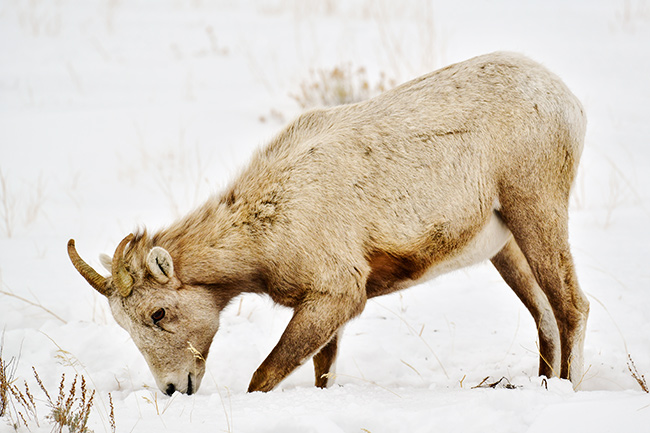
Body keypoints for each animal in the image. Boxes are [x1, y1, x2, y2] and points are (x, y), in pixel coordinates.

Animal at [67, 51, 588, 394]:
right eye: (125, 324)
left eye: (157, 313)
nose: (175, 387)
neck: (267, 223)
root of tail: (567, 100)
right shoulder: (326, 308)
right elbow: (323, 373)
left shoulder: (335, 295)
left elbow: (265, 376)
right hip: (505, 246)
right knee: (544, 315)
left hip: (537, 209)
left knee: (571, 307)